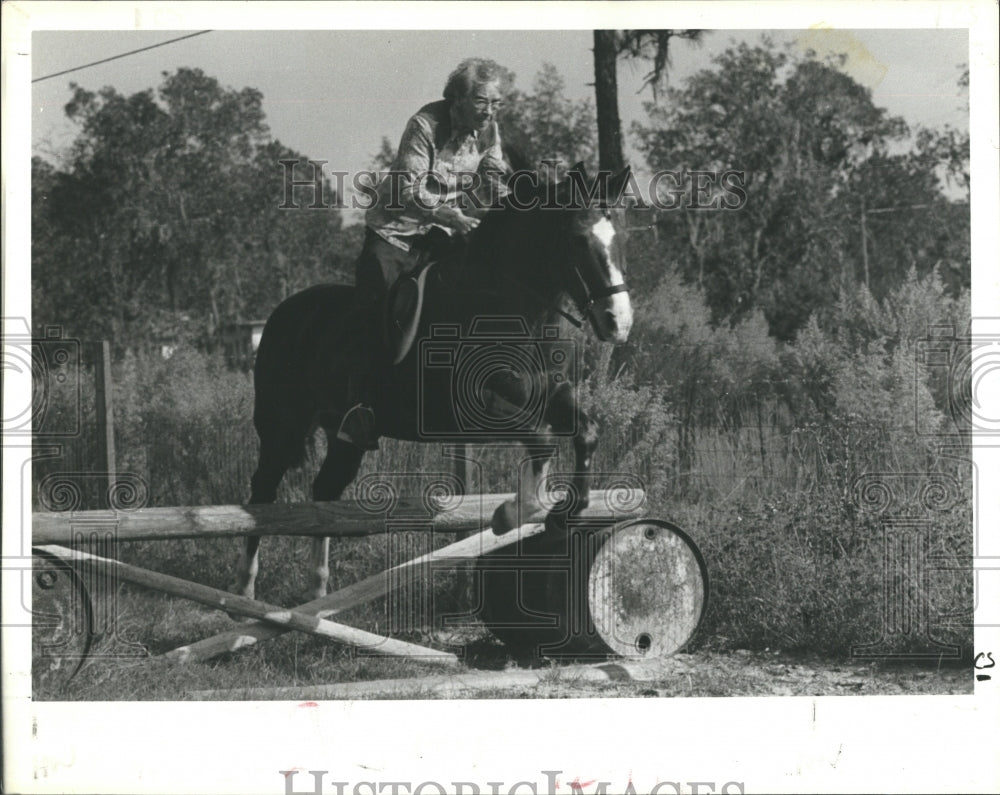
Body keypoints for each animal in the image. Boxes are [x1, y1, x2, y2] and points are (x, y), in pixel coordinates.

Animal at [234, 165, 632, 600]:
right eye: (577, 240)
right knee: (262, 495)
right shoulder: (474, 408)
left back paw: (316, 591)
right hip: (282, 426)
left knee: (324, 490)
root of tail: (283, 313)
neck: (511, 310)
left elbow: (587, 433)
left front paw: (566, 513)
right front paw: (510, 514)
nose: (618, 322)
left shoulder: (550, 394)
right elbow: (542, 440)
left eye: (620, 238)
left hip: (346, 436)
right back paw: (245, 589)